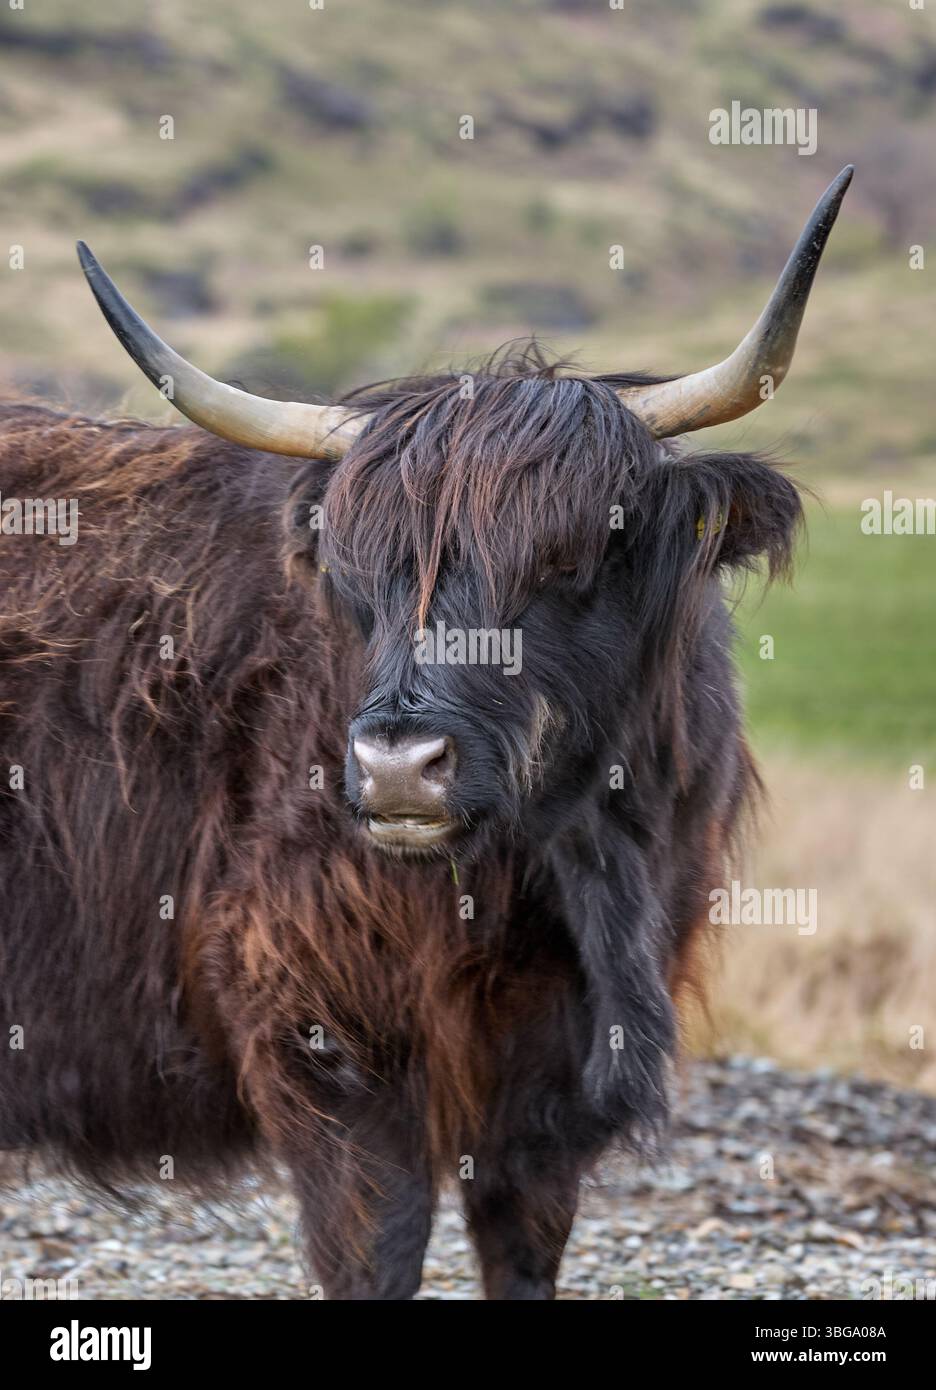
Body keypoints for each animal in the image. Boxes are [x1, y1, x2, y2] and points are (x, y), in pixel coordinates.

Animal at [0, 168, 852, 1299]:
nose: (398, 765)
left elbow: (525, 1251)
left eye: (570, 559)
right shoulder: (330, 1040)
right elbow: (380, 1250)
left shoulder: (549, 1092)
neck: (566, 864)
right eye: (363, 571)